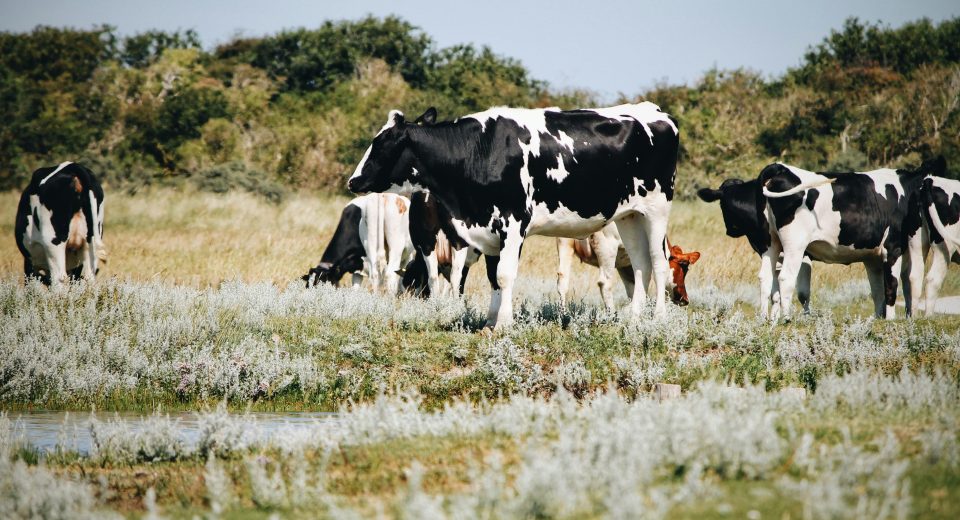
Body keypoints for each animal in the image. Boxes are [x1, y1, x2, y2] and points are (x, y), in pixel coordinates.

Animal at [348, 103, 679, 329]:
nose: (353, 181)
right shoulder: (488, 229)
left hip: (658, 209)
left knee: (659, 262)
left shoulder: (513, 222)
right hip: (630, 215)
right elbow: (494, 277)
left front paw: (504, 324)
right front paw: (490, 321)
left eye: (381, 145)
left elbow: (505, 275)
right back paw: (634, 317)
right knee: (640, 263)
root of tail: (656, 111)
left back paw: (659, 318)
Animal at [556, 225, 700, 309]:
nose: (685, 299)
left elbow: (633, 289)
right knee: (605, 283)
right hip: (607, 248)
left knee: (562, 280)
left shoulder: (625, 266)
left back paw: (563, 316)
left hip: (565, 242)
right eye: (684, 266)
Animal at [699, 158, 938, 320]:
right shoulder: (892, 247)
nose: (730, 230)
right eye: (723, 204)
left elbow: (877, 288)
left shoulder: (872, 256)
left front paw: (880, 318)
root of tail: (779, 168)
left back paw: (765, 318)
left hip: (774, 246)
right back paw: (786, 319)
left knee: (766, 278)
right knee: (786, 278)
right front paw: (890, 320)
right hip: (794, 245)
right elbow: (891, 284)